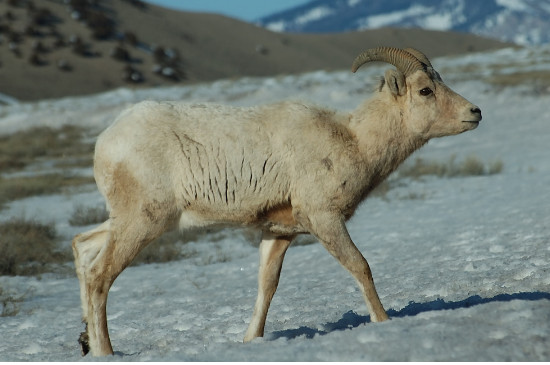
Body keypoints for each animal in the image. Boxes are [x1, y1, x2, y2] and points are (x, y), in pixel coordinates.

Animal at [72, 46, 484, 356]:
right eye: (425, 91)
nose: (475, 113)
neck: (352, 140)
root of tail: (106, 142)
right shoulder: (324, 220)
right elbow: (360, 267)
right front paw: (383, 323)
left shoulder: (278, 234)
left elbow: (266, 286)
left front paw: (249, 340)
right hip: (142, 223)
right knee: (99, 276)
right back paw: (105, 351)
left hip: (127, 221)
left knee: (83, 247)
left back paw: (86, 341)